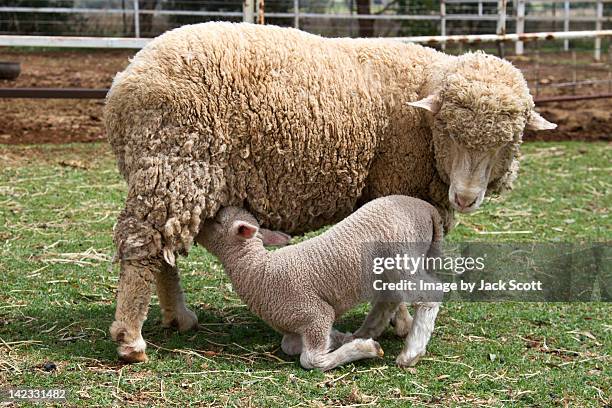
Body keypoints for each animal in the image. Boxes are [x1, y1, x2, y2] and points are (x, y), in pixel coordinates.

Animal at [104, 21, 556, 364]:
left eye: (509, 139)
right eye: (447, 129)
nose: (465, 197)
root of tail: (124, 82)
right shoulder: (394, 187)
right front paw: (400, 325)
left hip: (174, 175)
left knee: (164, 251)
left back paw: (177, 318)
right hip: (175, 163)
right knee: (142, 247)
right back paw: (131, 339)